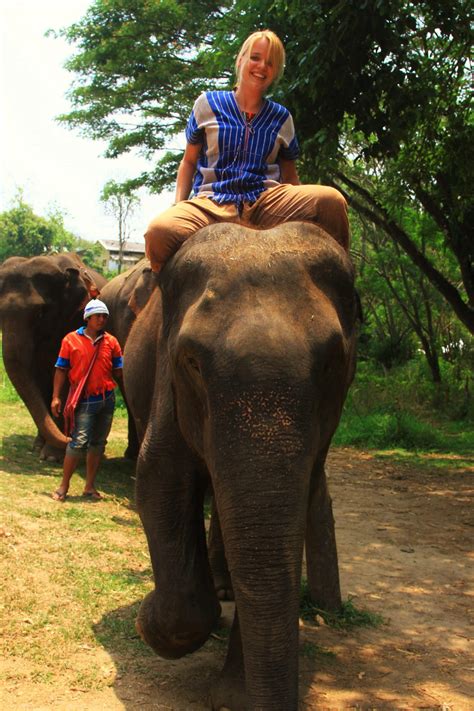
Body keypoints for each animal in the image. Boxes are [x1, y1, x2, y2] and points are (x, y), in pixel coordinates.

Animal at [0, 253, 105, 458]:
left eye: (40, 312)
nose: (70, 437)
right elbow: (38, 376)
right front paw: (39, 448)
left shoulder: (75, 319)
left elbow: (66, 375)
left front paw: (51, 455)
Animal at [124, 224, 358, 711]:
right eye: (192, 362)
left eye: (333, 363)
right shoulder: (167, 382)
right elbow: (159, 483)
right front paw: (149, 619)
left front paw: (233, 699)